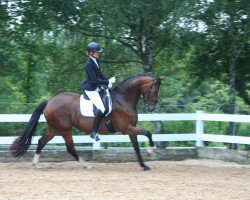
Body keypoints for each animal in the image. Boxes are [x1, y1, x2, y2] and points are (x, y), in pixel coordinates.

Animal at [11, 73, 164, 170]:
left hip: (54, 129)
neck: (123, 99)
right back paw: (87, 165)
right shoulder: (126, 128)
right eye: (154, 91)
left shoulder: (131, 128)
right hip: (65, 129)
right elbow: (148, 133)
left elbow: (136, 147)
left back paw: (37, 164)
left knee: (41, 141)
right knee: (70, 148)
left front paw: (144, 165)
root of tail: (49, 101)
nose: (152, 108)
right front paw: (151, 151)